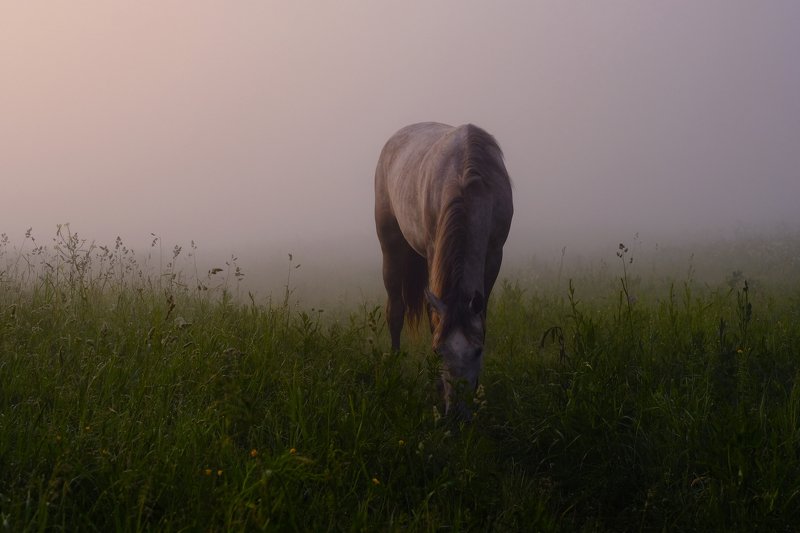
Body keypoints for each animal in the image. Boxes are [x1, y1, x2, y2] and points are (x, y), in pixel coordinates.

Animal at [374, 122, 513, 418]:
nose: (457, 414)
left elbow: (483, 318)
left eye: (478, 351)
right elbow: (432, 319)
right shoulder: (432, 250)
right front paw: (436, 386)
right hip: (391, 245)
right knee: (395, 311)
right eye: (438, 351)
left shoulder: (494, 255)